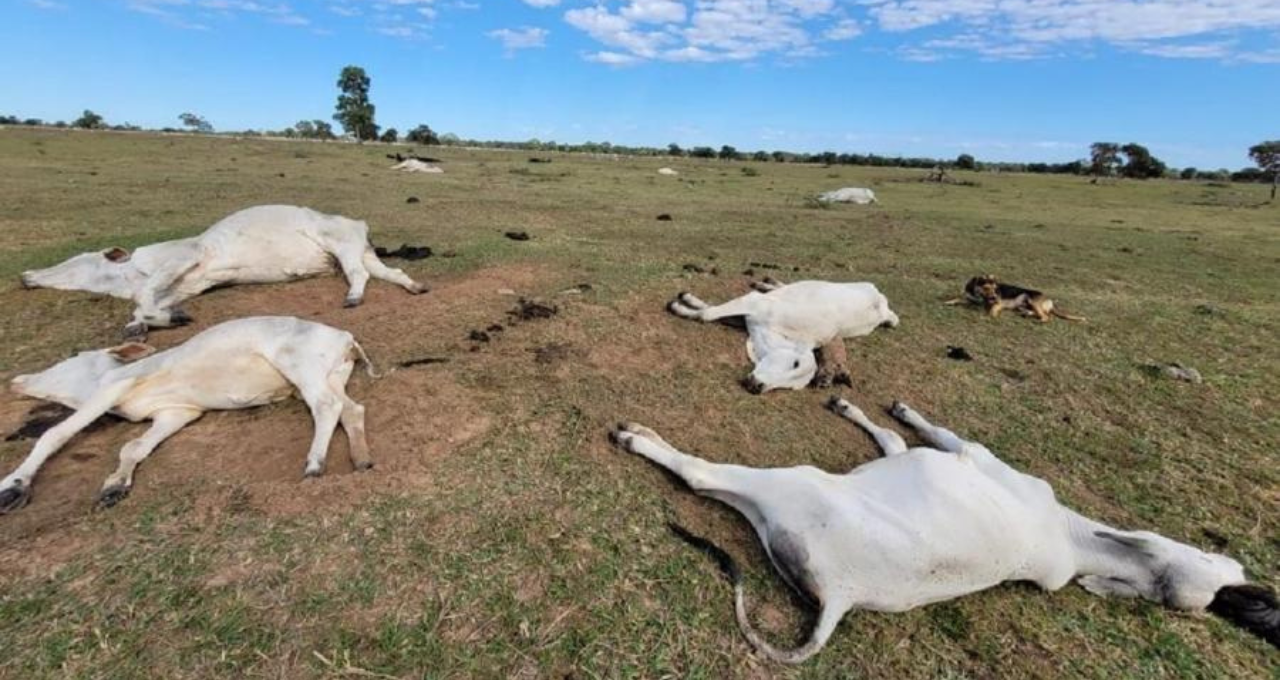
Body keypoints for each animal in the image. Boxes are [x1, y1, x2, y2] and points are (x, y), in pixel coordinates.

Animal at [0, 316, 376, 514]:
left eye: (72, 357)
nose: (17, 381)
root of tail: (345, 336)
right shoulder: (177, 413)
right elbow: (134, 447)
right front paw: (114, 485)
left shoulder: (115, 388)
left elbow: (55, 434)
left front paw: (13, 486)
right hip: (330, 375)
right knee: (350, 409)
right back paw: (361, 458)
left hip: (300, 365)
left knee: (326, 406)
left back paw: (314, 463)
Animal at [21, 204, 430, 338]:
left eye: (78, 260)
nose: (26, 276)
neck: (132, 273)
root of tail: (358, 223)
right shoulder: (185, 284)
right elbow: (148, 304)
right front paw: (144, 324)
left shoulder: (187, 255)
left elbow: (147, 297)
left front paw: (162, 319)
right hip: (360, 252)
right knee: (389, 272)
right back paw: (414, 286)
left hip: (342, 246)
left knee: (360, 276)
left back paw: (353, 297)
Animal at [611, 399, 1280, 665]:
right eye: (1220, 565)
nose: (1255, 592)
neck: (1073, 539)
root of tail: (843, 597)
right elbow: (892, 439)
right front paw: (858, 409)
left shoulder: (970, 454)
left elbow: (922, 433)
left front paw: (896, 408)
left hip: (790, 484)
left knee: (701, 477)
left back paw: (638, 437)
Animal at [670, 277, 901, 394]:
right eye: (795, 363)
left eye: (792, 387)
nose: (758, 387)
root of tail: (882, 305)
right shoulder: (754, 303)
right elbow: (708, 313)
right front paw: (680, 304)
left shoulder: (747, 316)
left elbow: (709, 311)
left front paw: (686, 304)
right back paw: (766, 282)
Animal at [947, 274, 1085, 321]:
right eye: (986, 288)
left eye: (995, 288)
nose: (995, 297)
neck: (980, 295)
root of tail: (1049, 300)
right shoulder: (973, 300)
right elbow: (959, 299)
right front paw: (949, 301)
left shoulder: (997, 304)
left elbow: (991, 311)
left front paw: (989, 316)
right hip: (1023, 306)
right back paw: (1026, 314)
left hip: (1031, 300)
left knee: (1047, 317)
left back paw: (1038, 320)